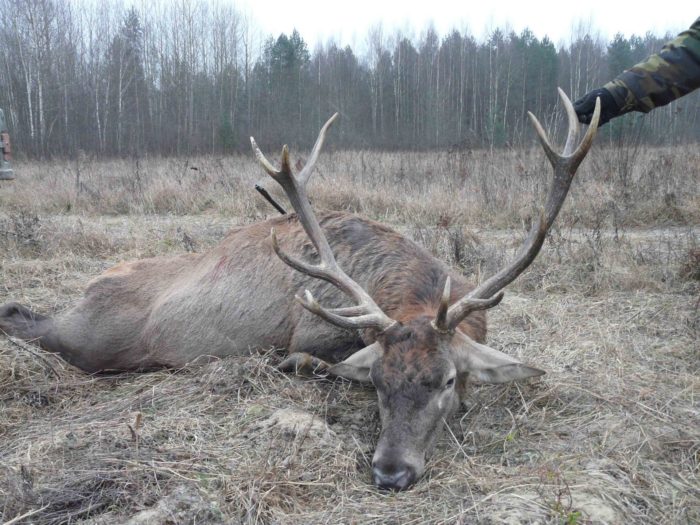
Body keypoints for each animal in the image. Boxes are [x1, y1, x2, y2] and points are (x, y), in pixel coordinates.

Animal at [1, 89, 600, 488]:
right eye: (376, 381)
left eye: (449, 380)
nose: (390, 472)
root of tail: (92, 286)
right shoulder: (312, 332)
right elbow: (307, 359)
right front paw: (296, 366)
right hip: (91, 338)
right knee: (28, 319)